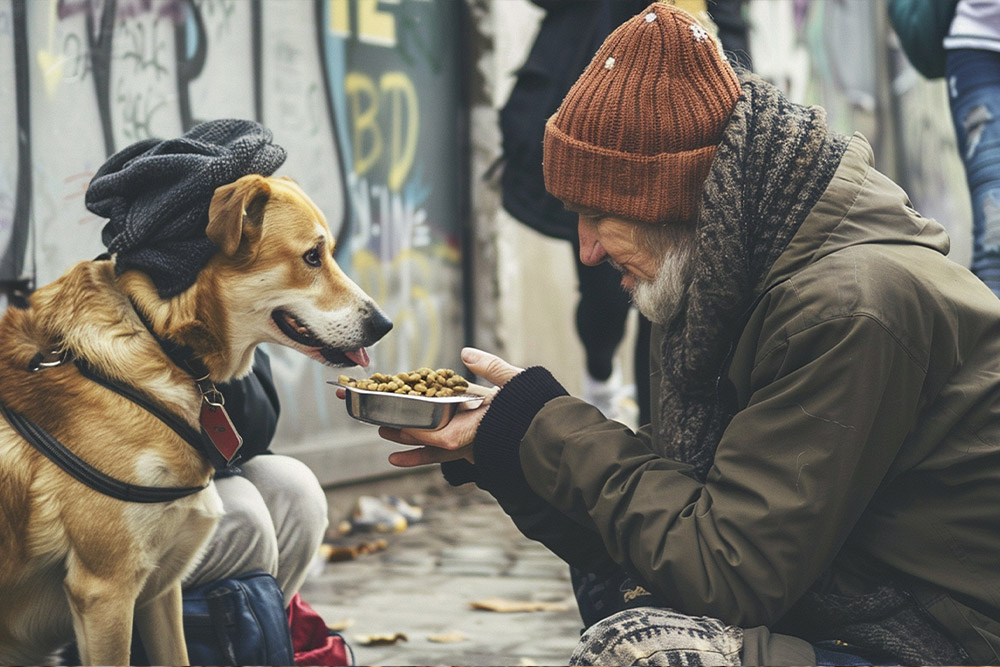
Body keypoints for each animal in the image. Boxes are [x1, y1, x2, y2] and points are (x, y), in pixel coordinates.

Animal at [0, 175, 392, 664]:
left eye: (332, 252)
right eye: (312, 257)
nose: (385, 325)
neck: (162, 342)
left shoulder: (158, 589)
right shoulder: (104, 591)